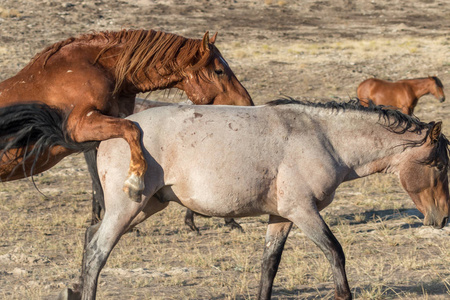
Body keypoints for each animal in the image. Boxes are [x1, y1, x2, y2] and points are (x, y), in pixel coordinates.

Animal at [0, 29, 253, 212]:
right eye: (219, 70)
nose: (247, 103)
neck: (97, 67)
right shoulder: (79, 126)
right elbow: (133, 130)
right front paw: (134, 183)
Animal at [65, 99, 448, 300]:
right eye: (439, 165)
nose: (442, 218)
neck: (323, 137)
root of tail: (118, 129)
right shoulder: (303, 212)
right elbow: (335, 253)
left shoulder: (281, 217)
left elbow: (269, 266)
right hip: (128, 208)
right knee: (98, 250)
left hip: (147, 206)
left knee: (88, 238)